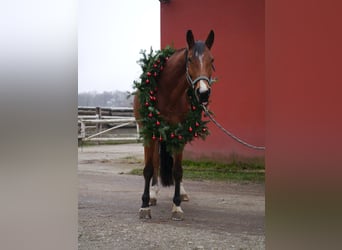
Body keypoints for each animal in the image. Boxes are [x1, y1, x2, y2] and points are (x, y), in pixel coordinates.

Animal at [133, 29, 214, 221]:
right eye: (190, 59)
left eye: (212, 60)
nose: (203, 93)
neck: (167, 93)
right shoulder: (149, 133)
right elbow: (148, 169)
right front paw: (144, 205)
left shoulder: (180, 134)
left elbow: (178, 170)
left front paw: (176, 206)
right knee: (155, 163)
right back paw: (153, 194)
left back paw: (182, 193)